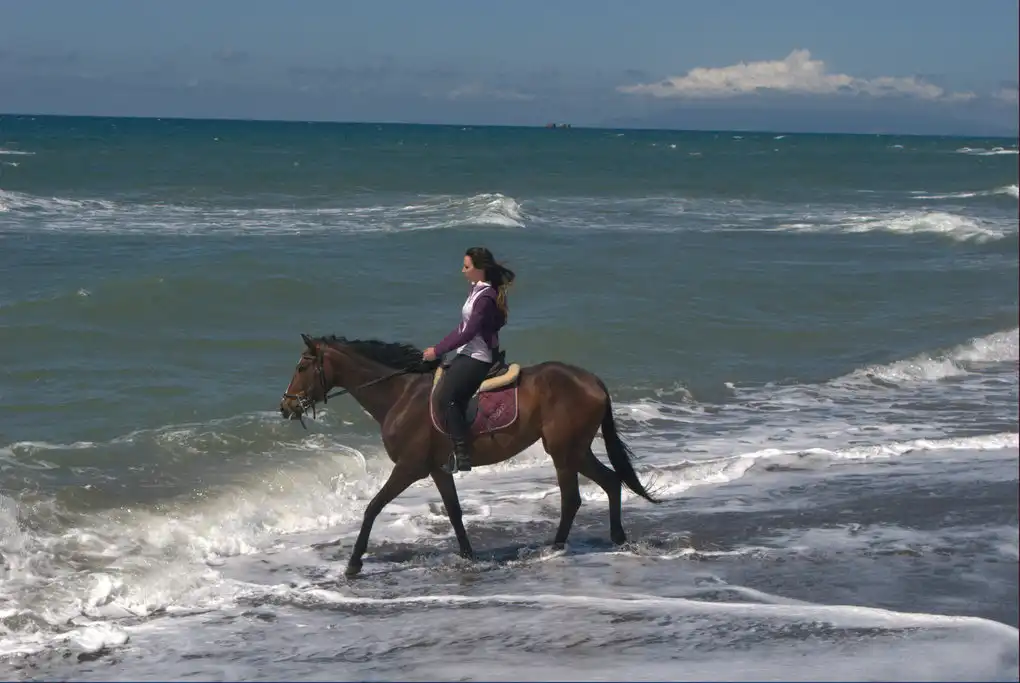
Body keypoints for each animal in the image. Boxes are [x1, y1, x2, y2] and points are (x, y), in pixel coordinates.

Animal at [279, 333, 659, 578]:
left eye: (301, 367)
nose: (285, 406)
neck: (401, 394)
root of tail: (593, 381)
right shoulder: (437, 469)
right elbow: (454, 511)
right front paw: (468, 555)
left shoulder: (409, 468)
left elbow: (372, 507)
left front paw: (354, 563)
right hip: (576, 449)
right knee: (611, 482)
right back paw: (616, 538)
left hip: (564, 451)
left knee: (573, 498)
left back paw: (556, 548)